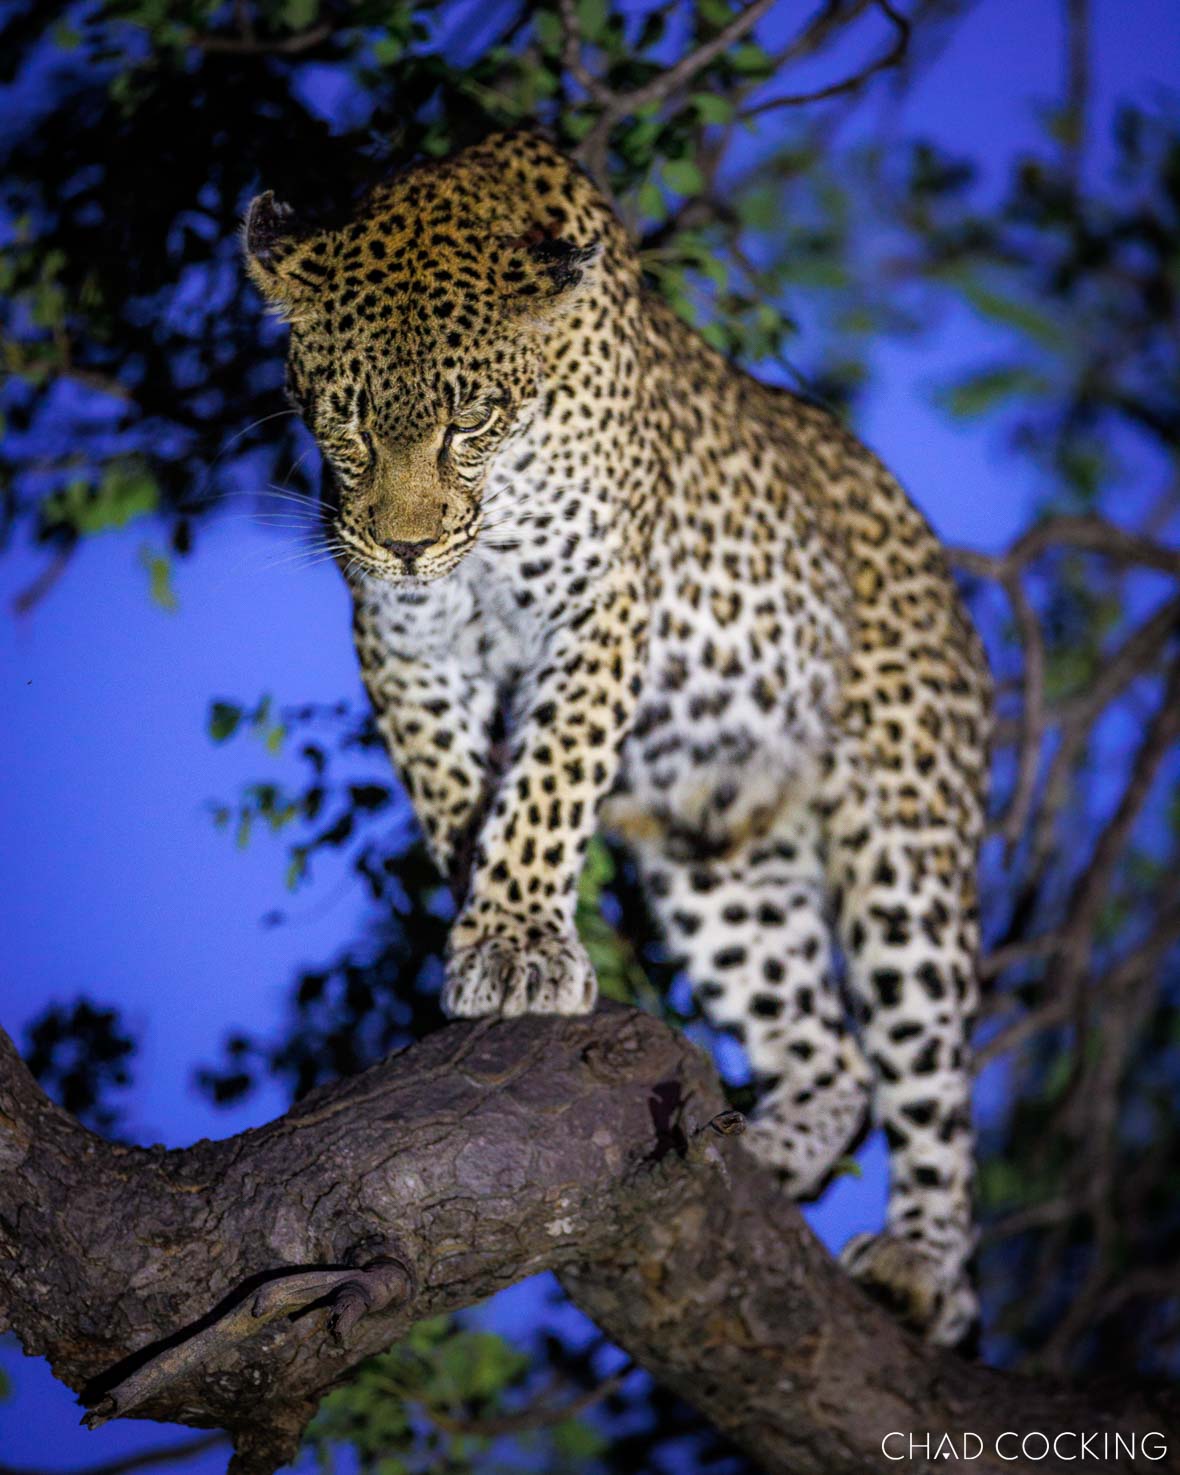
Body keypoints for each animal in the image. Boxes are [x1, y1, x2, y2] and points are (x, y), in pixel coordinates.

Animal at [243, 127, 992, 1347]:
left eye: (468, 423)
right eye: (345, 423)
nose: (404, 543)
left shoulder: (598, 612)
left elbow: (545, 779)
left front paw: (515, 942)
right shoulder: (401, 637)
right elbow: (453, 783)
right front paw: (492, 921)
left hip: (905, 841)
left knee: (927, 1074)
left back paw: (922, 1263)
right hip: (720, 869)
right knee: (830, 1054)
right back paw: (752, 1146)